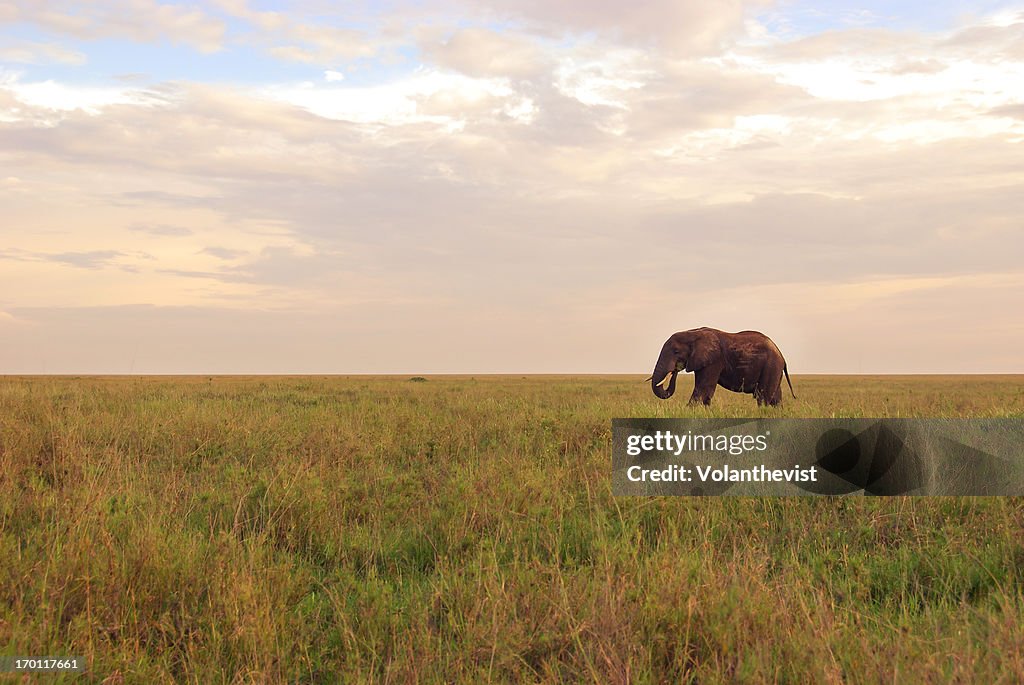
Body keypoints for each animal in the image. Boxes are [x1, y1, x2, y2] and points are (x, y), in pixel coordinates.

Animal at [651, 327, 794, 405]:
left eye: (676, 351)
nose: (675, 370)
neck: (693, 332)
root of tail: (781, 355)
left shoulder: (714, 360)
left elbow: (703, 390)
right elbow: (704, 392)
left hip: (771, 365)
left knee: (763, 397)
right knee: (775, 399)